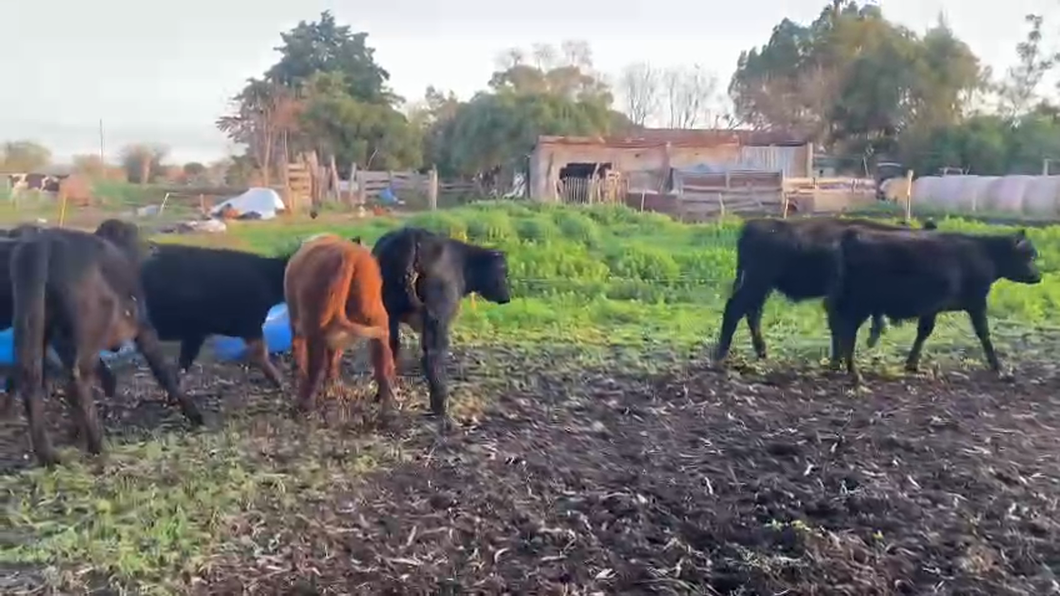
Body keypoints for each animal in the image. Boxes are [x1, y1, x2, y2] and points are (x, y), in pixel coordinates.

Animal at [12, 222, 201, 464]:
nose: (151, 248)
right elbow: (162, 368)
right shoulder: (143, 327)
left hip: (32, 321)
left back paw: (49, 454)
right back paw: (96, 444)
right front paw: (193, 413)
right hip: (93, 322)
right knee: (78, 377)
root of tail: (44, 245)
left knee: (33, 377)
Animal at [373, 225, 513, 417]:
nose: (507, 297)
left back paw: (382, 397)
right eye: (503, 271)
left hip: (387, 316)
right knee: (432, 357)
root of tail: (411, 236)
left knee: (387, 349)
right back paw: (441, 406)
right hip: (436, 318)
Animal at [712, 214, 937, 362]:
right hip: (756, 283)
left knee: (752, 313)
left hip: (761, 286)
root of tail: (753, 226)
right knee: (735, 309)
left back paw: (761, 351)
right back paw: (720, 354)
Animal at [826, 224, 1043, 381]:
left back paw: (836, 364)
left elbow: (924, 331)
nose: (1038, 276)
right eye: (1028, 256)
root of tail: (852, 234)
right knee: (847, 333)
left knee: (837, 329)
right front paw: (998, 367)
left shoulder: (931, 307)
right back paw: (853, 371)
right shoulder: (976, 302)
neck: (983, 252)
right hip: (859, 303)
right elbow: (984, 333)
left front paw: (912, 364)